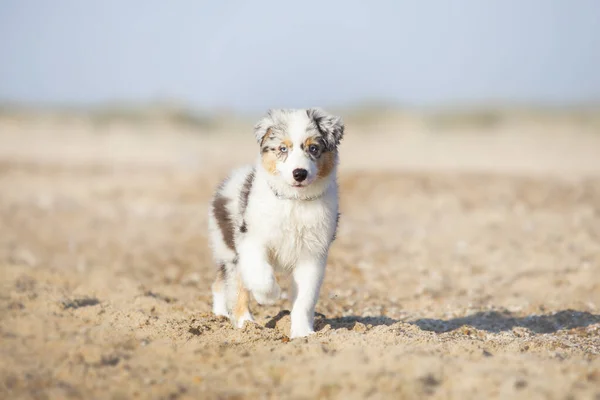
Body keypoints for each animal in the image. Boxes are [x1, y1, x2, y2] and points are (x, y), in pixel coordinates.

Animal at [209, 107, 344, 338]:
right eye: (282, 148)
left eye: (314, 148)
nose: (299, 173)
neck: (294, 202)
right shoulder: (252, 240)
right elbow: (260, 276)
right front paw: (268, 297)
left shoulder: (313, 254)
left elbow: (305, 298)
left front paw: (303, 334)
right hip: (229, 247)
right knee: (232, 284)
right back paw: (241, 322)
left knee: (222, 283)